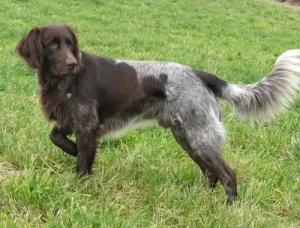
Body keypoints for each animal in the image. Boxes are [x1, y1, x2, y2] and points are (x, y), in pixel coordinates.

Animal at [15, 24, 300, 204]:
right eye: (52, 44)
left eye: (70, 44)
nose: (72, 63)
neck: (62, 81)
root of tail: (199, 74)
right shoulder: (71, 119)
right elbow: (56, 137)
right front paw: (73, 150)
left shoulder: (87, 125)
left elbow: (83, 164)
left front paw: (81, 183)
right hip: (186, 136)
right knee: (210, 173)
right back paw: (203, 199)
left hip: (198, 137)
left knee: (227, 174)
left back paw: (229, 208)